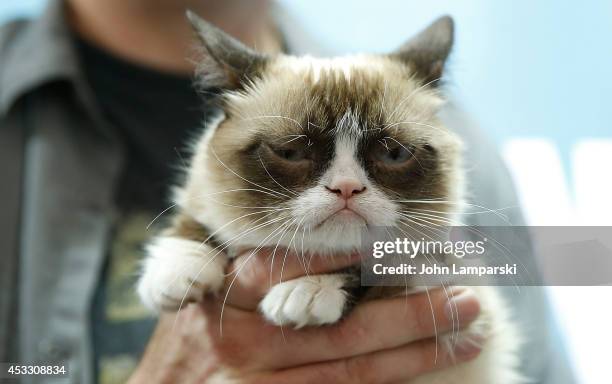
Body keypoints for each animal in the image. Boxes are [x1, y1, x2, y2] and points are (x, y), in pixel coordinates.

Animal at [137, 12, 520, 384]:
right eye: (291, 152)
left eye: (394, 154)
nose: (347, 187)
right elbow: (197, 217)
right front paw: (175, 271)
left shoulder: (458, 292)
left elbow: (381, 265)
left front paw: (306, 292)